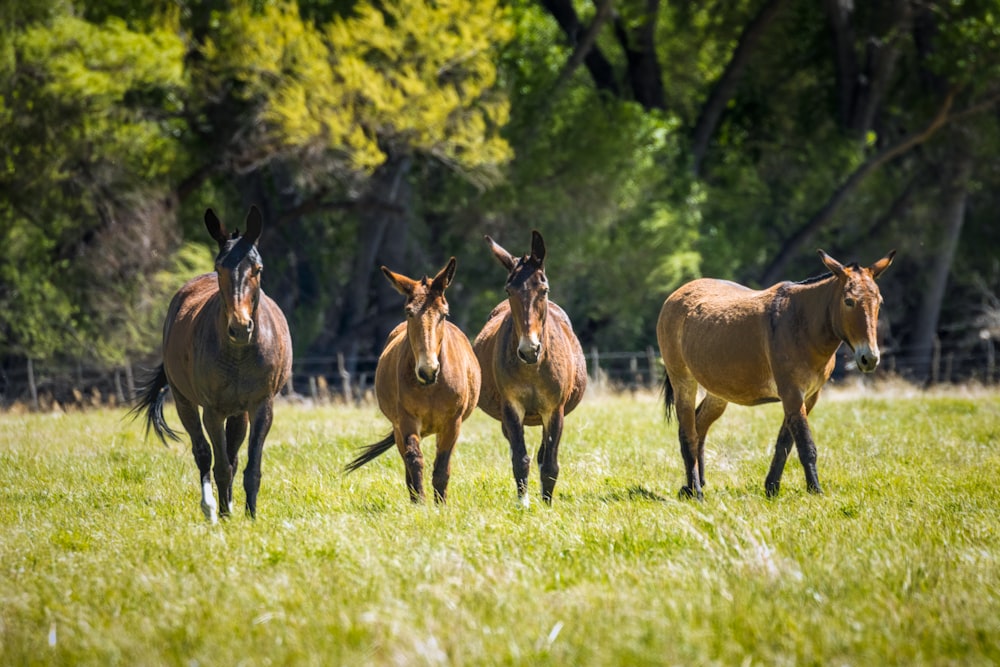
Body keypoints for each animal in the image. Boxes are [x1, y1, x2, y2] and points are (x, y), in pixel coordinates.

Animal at [131, 206, 292, 520]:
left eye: (258, 269)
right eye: (220, 269)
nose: (240, 327)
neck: (239, 354)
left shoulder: (261, 406)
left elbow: (250, 468)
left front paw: (251, 516)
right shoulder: (213, 411)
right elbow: (220, 467)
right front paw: (227, 515)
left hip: (238, 412)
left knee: (232, 454)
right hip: (185, 402)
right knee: (204, 453)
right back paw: (211, 509)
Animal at [346, 258, 482, 504]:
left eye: (444, 314)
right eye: (409, 313)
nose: (428, 371)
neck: (431, 388)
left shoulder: (452, 423)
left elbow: (442, 466)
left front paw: (441, 505)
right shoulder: (406, 420)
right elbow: (414, 460)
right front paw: (420, 503)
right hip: (398, 426)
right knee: (407, 459)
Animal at [474, 230, 584, 506]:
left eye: (543, 289)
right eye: (508, 290)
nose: (528, 350)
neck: (533, 368)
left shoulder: (554, 411)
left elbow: (550, 463)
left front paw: (547, 504)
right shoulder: (512, 408)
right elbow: (520, 459)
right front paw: (523, 504)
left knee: (544, 454)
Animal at [656, 250, 900, 500]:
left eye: (879, 301)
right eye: (848, 301)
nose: (869, 358)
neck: (802, 326)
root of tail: (676, 295)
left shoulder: (809, 396)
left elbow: (785, 442)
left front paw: (772, 487)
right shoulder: (792, 393)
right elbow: (805, 445)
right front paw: (815, 490)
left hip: (718, 391)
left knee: (700, 426)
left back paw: (694, 485)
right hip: (683, 381)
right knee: (688, 433)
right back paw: (695, 491)